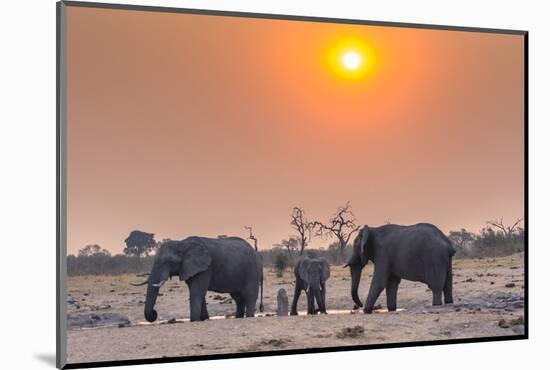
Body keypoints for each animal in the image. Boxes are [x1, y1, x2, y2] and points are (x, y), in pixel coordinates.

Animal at [133, 237, 264, 320]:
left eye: (169, 261)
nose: (154, 314)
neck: (183, 243)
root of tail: (256, 253)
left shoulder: (205, 268)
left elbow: (196, 291)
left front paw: (194, 320)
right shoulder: (189, 268)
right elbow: (199, 292)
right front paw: (204, 318)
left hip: (252, 271)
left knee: (249, 294)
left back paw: (249, 316)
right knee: (237, 297)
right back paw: (238, 317)